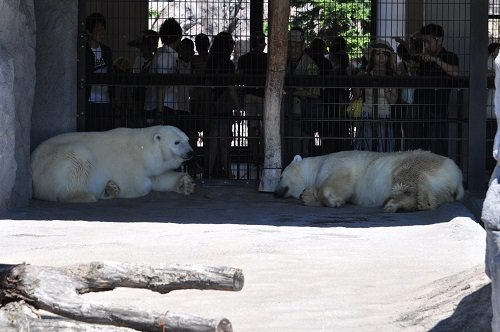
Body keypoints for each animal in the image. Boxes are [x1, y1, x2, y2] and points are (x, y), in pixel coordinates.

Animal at [30, 125, 195, 201]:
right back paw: (86, 195)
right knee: (79, 160)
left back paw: (110, 190)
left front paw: (186, 184)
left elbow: (158, 178)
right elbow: (138, 185)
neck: (142, 150)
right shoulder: (127, 163)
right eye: (176, 142)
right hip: (56, 161)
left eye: (187, 139)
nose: (190, 152)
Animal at [276, 150, 462, 213]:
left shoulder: (338, 163)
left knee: (406, 182)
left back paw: (396, 204)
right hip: (442, 189)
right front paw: (306, 196)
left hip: (413, 165)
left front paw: (333, 200)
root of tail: (457, 177)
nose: (275, 192)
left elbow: (340, 179)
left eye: (280, 176)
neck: (317, 165)